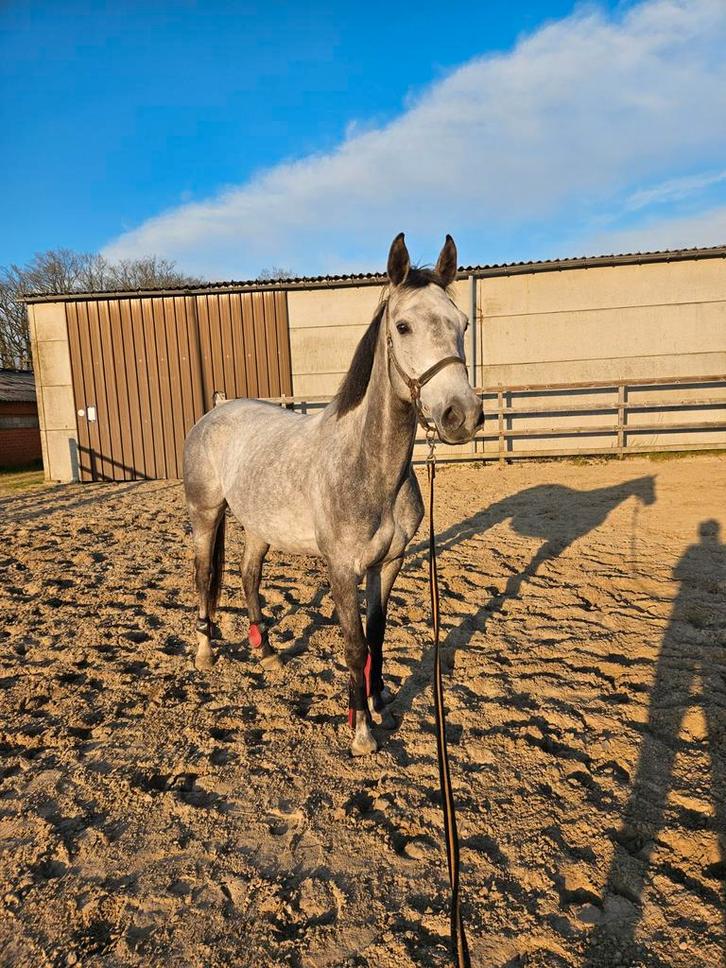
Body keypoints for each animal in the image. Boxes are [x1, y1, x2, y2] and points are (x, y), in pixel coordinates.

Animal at [183, 233, 483, 755]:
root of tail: (215, 413)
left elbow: (377, 634)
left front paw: (381, 704)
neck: (367, 468)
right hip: (206, 513)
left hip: (260, 526)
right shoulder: (341, 569)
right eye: (403, 326)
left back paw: (267, 654)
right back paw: (205, 652)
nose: (460, 415)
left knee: (248, 574)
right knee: (205, 576)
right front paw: (361, 730)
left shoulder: (388, 562)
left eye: (462, 323)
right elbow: (354, 642)